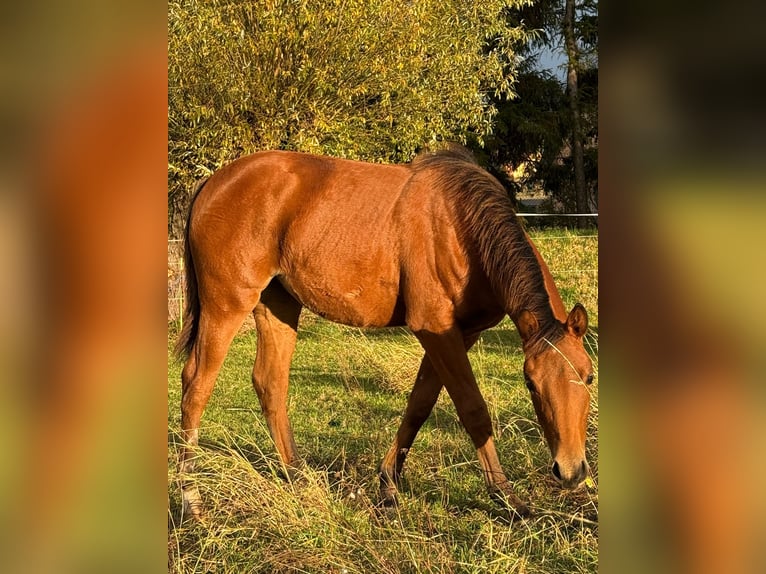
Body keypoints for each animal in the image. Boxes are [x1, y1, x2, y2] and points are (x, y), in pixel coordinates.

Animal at [175, 146, 594, 519]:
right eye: (530, 383)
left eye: (589, 377)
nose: (571, 470)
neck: (460, 223)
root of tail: (214, 182)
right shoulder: (437, 331)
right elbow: (472, 409)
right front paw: (506, 497)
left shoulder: (459, 333)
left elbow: (419, 405)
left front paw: (389, 484)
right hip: (226, 304)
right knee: (196, 385)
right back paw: (190, 498)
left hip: (277, 305)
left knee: (270, 383)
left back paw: (297, 477)